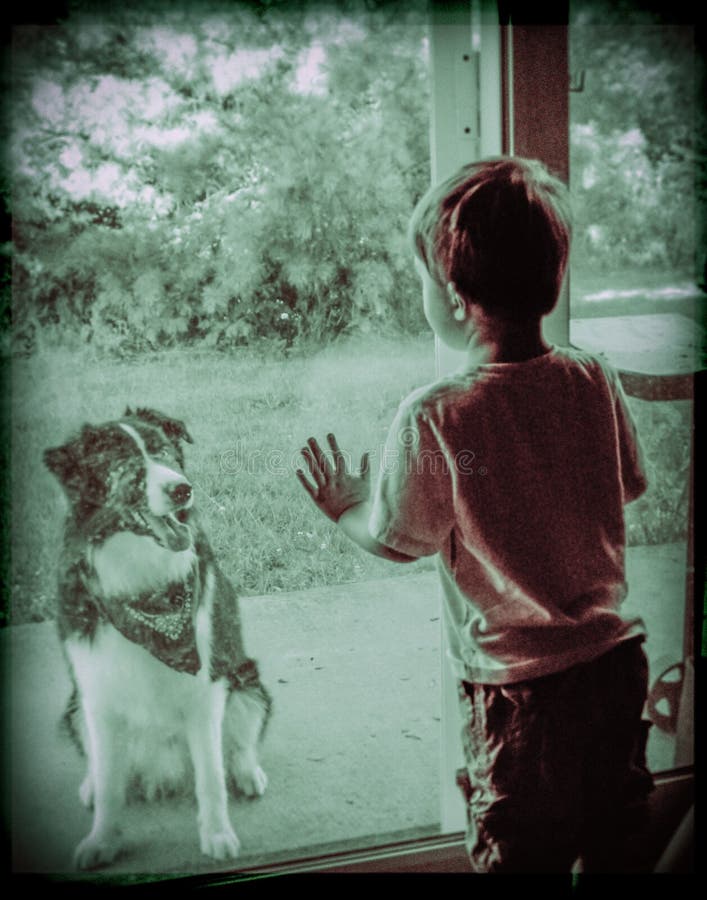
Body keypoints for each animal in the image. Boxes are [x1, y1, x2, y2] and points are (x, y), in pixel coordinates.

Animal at [44, 410, 272, 872]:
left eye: (163, 450)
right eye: (122, 462)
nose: (182, 488)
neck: (142, 583)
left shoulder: (205, 690)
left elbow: (210, 777)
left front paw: (217, 835)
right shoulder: (97, 695)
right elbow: (111, 787)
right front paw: (102, 840)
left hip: (246, 681)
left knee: (239, 743)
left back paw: (247, 773)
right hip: (75, 708)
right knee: (99, 764)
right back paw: (90, 784)